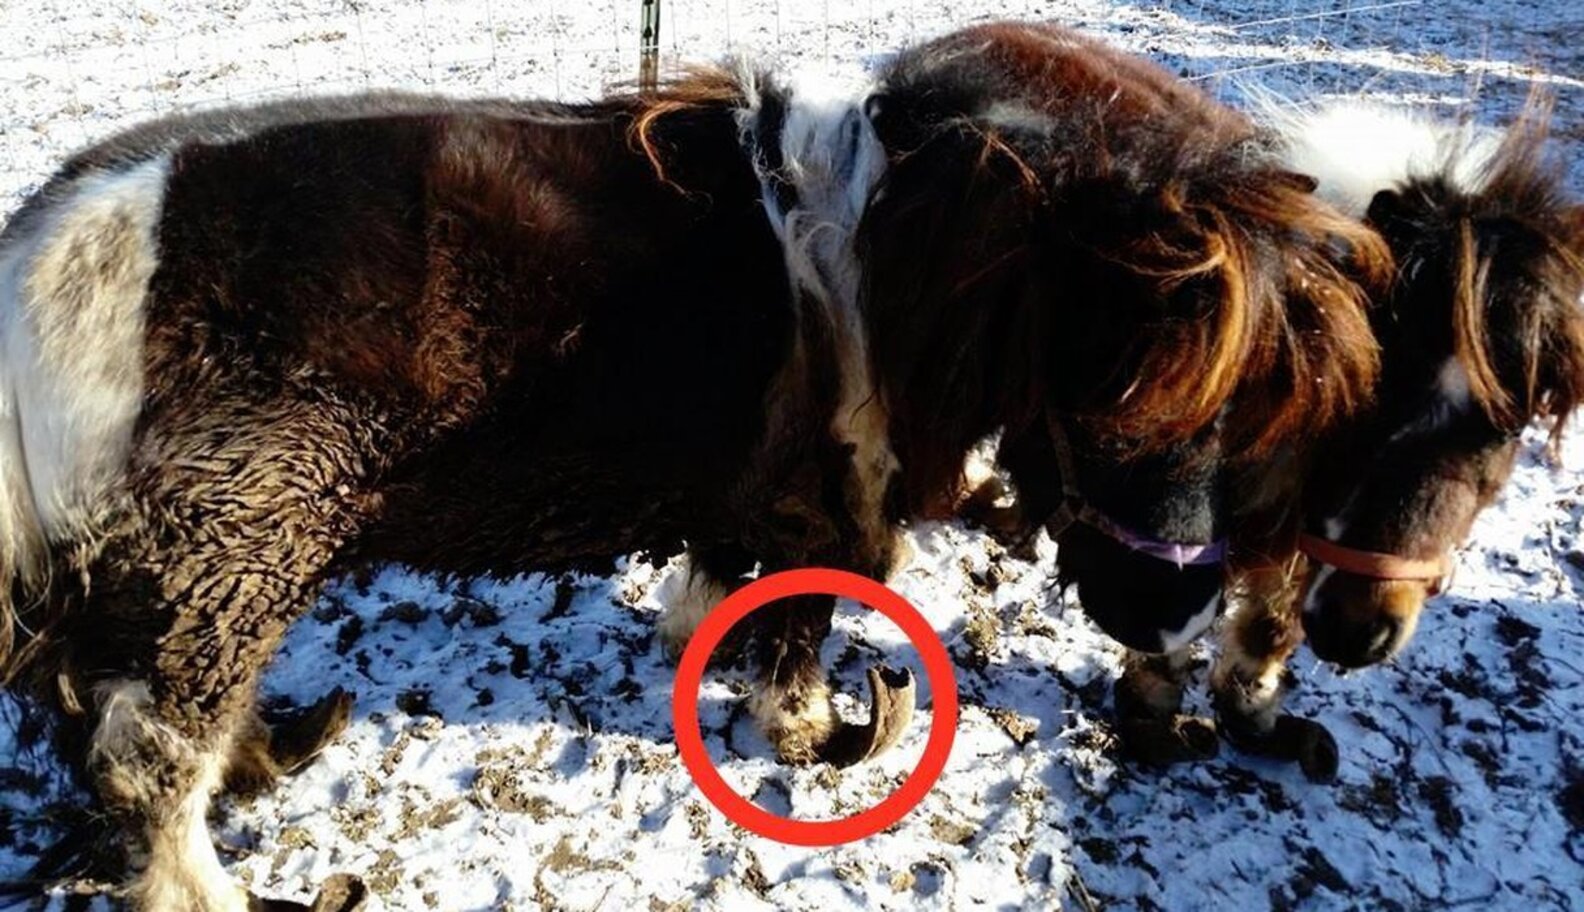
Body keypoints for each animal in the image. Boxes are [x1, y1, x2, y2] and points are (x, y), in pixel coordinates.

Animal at [0, 22, 1379, 910]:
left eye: (1260, 401)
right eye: (1127, 381)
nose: (1178, 615)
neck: (910, 251)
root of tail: (43, 257)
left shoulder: (747, 494)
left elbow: (717, 585)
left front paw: (691, 653)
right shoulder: (839, 506)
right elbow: (805, 631)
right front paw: (814, 733)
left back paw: (268, 751)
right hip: (233, 554)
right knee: (146, 750)